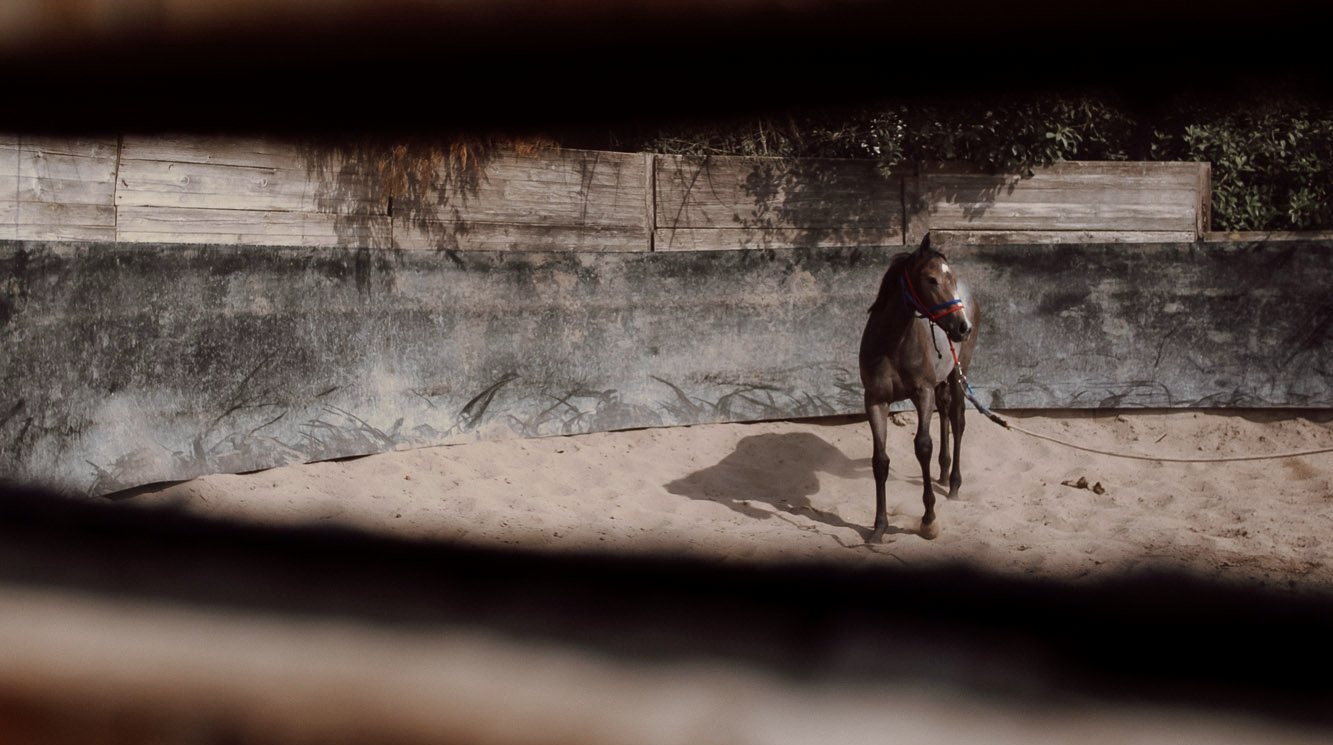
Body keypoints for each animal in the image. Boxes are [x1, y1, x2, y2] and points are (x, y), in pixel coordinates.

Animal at [859, 234, 979, 541]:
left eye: (950, 277)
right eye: (931, 279)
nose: (962, 327)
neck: (892, 344)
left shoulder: (922, 394)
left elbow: (923, 447)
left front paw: (929, 520)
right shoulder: (875, 400)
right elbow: (880, 461)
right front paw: (879, 526)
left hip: (958, 373)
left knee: (958, 420)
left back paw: (954, 484)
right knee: (946, 412)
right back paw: (944, 473)